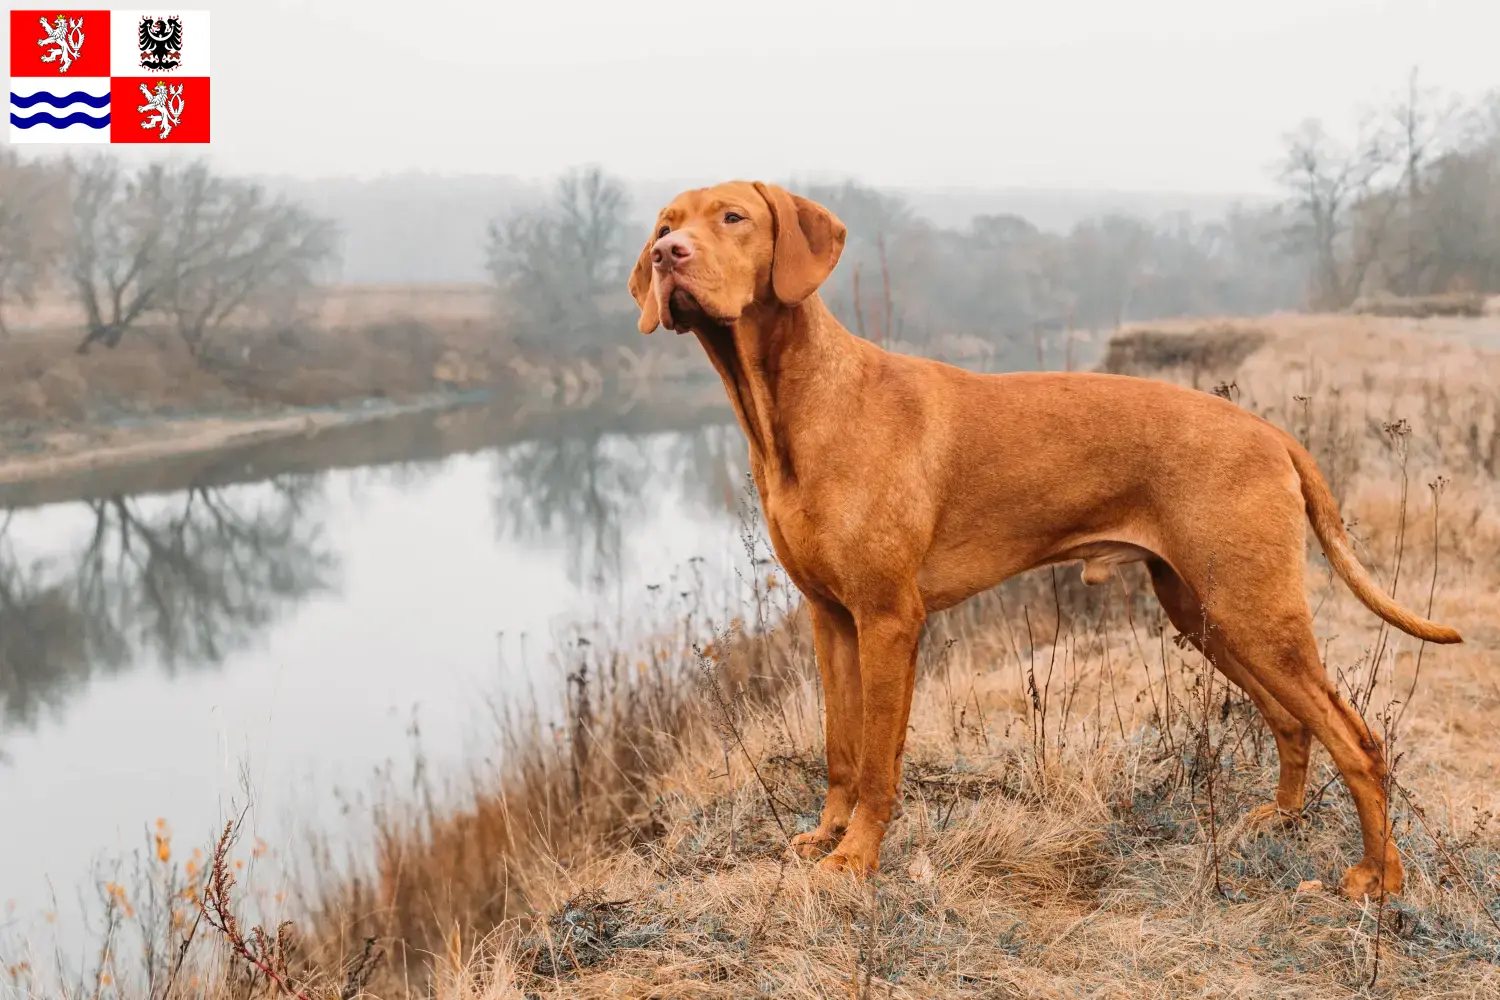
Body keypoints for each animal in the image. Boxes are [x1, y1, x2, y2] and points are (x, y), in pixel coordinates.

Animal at [624, 179, 1464, 899]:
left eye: (732, 217)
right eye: (665, 224)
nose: (668, 256)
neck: (795, 408)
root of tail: (1271, 433)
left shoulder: (889, 619)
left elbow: (877, 763)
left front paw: (856, 858)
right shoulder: (830, 617)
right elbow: (839, 747)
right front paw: (826, 836)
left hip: (1255, 613)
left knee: (1358, 741)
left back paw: (1379, 879)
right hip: (1208, 615)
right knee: (1293, 720)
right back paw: (1278, 820)